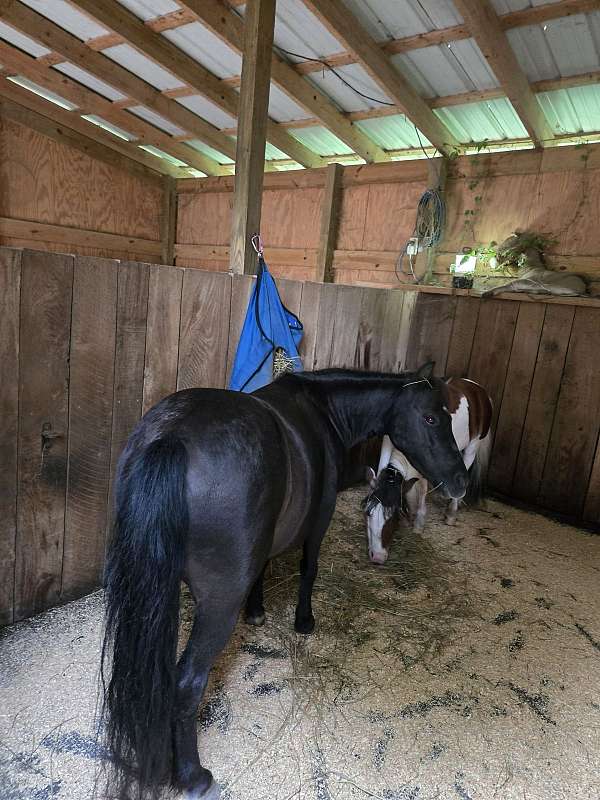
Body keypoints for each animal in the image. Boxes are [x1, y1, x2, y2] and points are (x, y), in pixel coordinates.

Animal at [100, 366, 468, 800]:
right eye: (430, 417)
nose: (461, 481)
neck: (322, 409)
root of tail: (171, 437)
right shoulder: (318, 522)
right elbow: (309, 568)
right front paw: (303, 619)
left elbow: (263, 568)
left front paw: (257, 611)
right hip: (217, 606)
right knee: (187, 682)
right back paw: (193, 777)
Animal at [363, 373, 492, 564]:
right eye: (368, 514)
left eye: (394, 517)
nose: (377, 557)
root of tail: (478, 388)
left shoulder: (427, 466)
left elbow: (422, 488)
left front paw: (418, 523)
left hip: (472, 447)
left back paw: (451, 513)